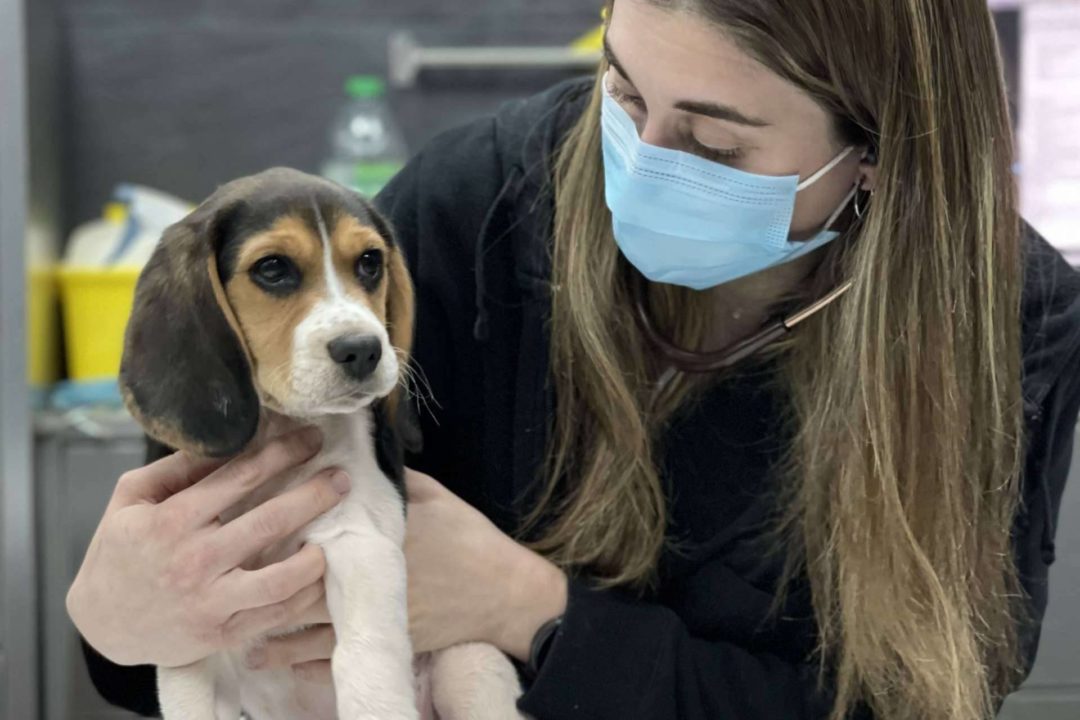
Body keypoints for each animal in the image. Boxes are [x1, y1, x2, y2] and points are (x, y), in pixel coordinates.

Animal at [122, 166, 527, 716]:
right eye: (273, 269)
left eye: (370, 262)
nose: (364, 349)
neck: (278, 427)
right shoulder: (186, 620)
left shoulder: (357, 542)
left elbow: (364, 668)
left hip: (471, 665)